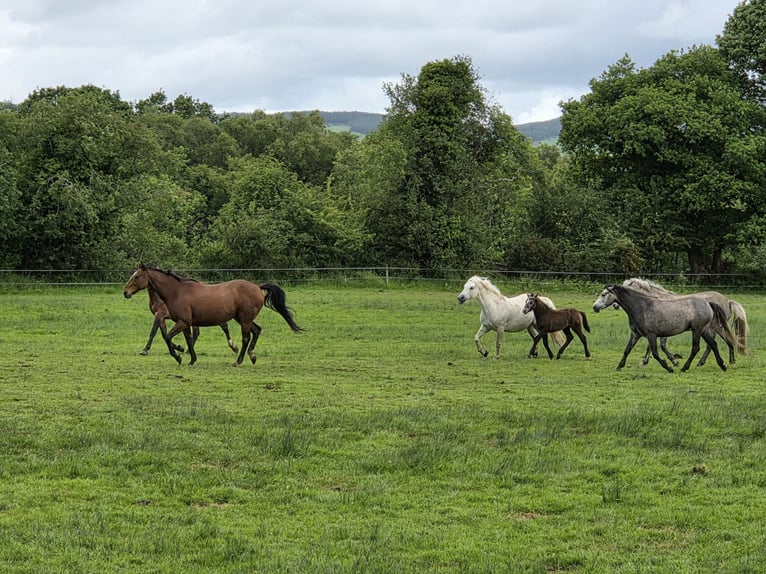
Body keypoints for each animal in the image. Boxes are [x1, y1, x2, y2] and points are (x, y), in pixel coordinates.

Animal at [123, 263, 304, 366]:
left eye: (137, 276)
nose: (125, 292)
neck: (177, 292)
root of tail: (257, 287)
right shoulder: (185, 323)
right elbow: (188, 340)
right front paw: (191, 359)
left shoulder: (181, 321)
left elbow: (167, 337)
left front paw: (178, 356)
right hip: (242, 319)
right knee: (257, 331)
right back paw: (252, 356)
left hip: (244, 320)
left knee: (246, 338)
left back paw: (238, 361)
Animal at [592, 284, 743, 372]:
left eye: (604, 294)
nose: (594, 307)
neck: (642, 307)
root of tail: (708, 303)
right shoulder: (635, 334)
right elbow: (627, 350)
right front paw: (619, 366)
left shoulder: (652, 335)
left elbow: (655, 353)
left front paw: (669, 367)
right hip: (704, 331)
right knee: (714, 345)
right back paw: (722, 365)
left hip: (698, 330)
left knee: (697, 348)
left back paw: (685, 367)